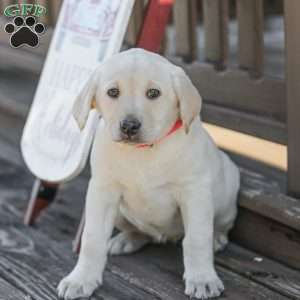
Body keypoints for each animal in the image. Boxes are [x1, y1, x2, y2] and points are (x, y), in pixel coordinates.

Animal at [57, 48, 240, 298]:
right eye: (112, 92)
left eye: (154, 93)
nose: (129, 126)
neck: (143, 151)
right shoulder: (102, 192)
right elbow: (92, 238)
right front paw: (80, 279)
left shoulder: (194, 193)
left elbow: (197, 238)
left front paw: (203, 279)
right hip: (120, 213)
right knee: (141, 232)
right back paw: (126, 240)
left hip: (227, 191)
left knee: (220, 225)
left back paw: (217, 239)